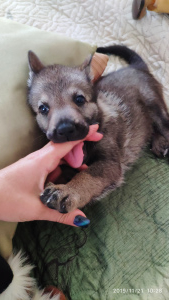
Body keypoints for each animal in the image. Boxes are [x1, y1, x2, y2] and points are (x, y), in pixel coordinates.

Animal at [27, 44, 169, 213]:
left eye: (79, 99)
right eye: (43, 109)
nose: (66, 129)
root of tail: (137, 67)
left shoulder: (109, 164)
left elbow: (86, 175)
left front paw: (68, 190)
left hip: (154, 104)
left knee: (164, 124)